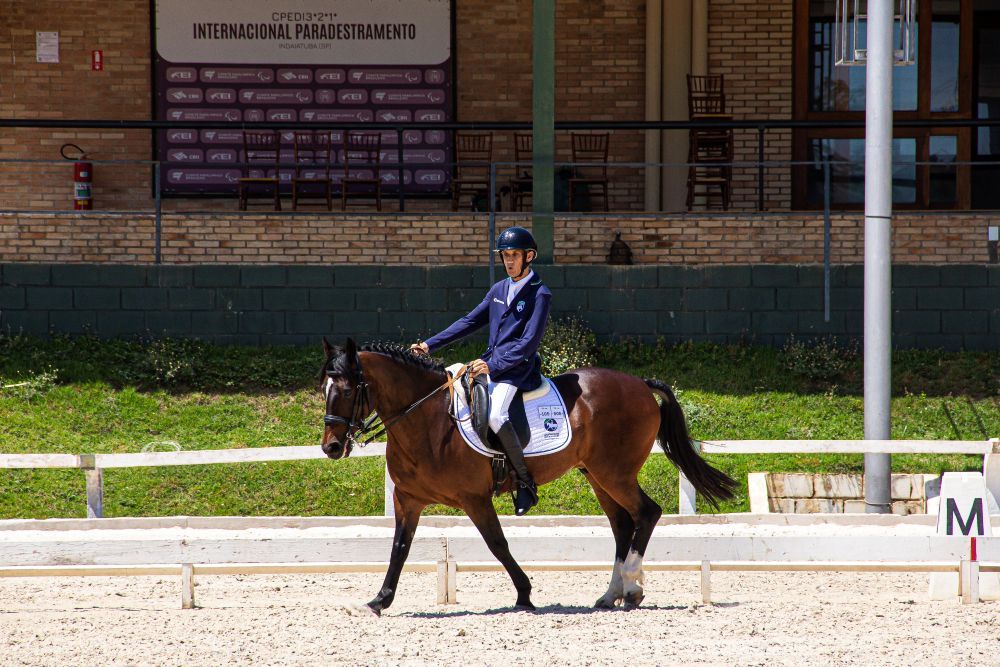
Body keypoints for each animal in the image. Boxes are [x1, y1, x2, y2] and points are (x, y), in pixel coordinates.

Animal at [319, 338, 736, 615]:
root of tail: (639, 383)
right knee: (622, 524)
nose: (331, 447)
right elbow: (399, 548)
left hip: (614, 472)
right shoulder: (407, 499)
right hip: (597, 475)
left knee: (646, 513)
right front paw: (380, 599)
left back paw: (632, 589)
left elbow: (497, 545)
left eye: (347, 389)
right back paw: (610, 595)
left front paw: (524, 594)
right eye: (323, 388)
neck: (427, 419)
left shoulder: (474, 498)